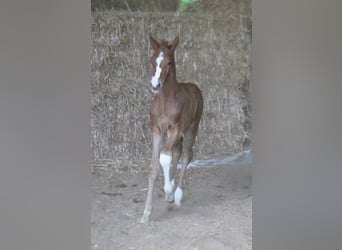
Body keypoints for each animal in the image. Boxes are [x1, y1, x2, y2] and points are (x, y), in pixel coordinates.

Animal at [141, 34, 203, 223]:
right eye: (152, 59)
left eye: (169, 62)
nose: (155, 85)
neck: (165, 102)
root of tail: (194, 87)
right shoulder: (156, 130)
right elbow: (154, 166)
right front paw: (146, 212)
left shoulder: (176, 128)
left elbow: (164, 157)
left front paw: (169, 190)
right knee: (177, 152)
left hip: (191, 129)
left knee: (186, 154)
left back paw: (177, 194)